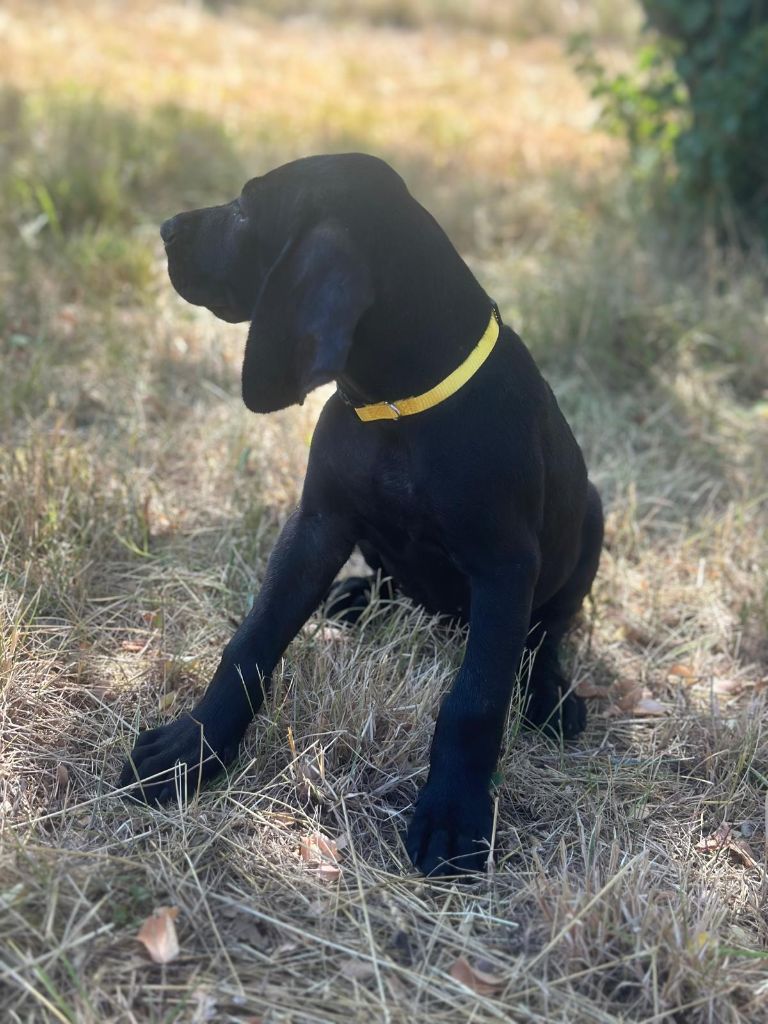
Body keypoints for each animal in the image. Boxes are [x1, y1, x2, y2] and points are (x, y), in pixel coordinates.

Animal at [120, 155, 606, 876]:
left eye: (245, 210)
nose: (166, 228)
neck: (398, 406)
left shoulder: (505, 567)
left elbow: (477, 698)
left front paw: (453, 812)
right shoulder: (317, 524)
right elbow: (251, 641)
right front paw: (192, 746)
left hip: (590, 522)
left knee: (547, 630)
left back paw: (549, 694)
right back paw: (356, 598)